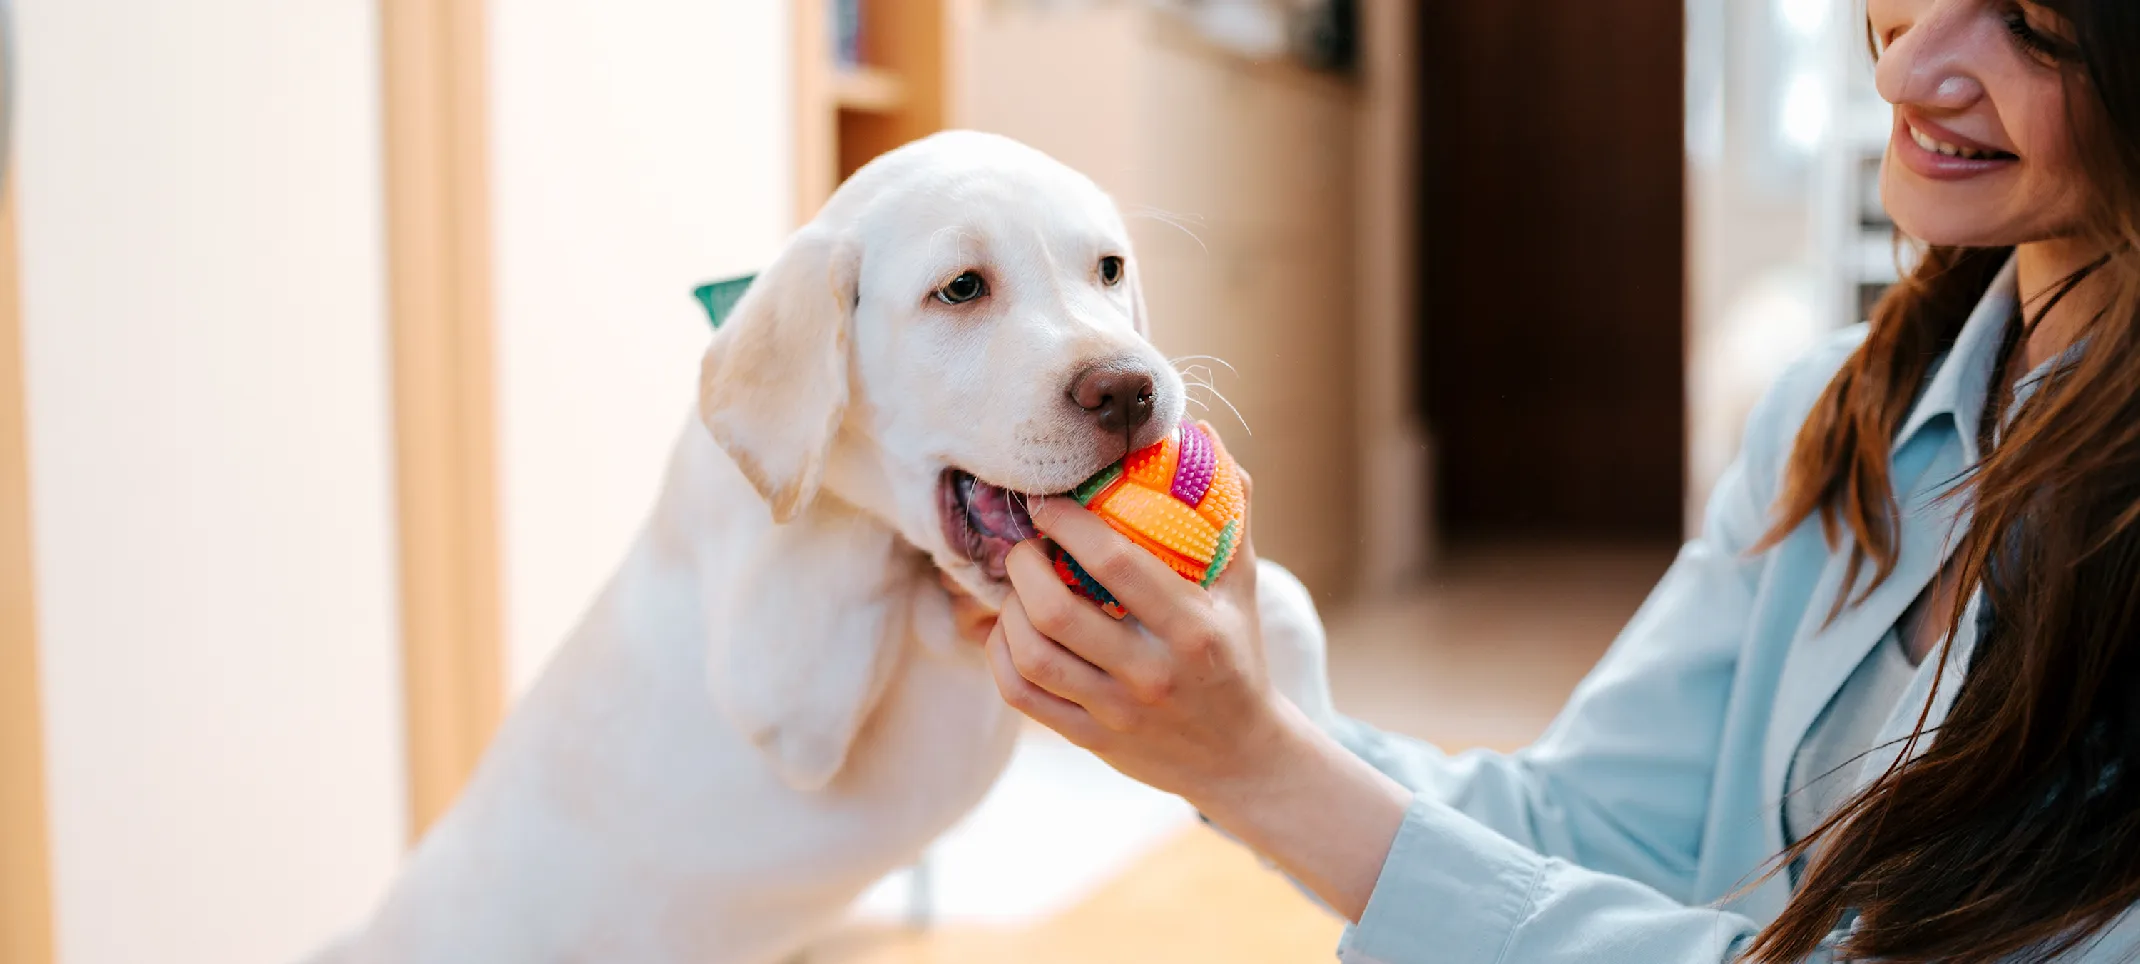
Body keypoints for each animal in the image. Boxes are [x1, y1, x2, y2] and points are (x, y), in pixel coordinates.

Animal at [312, 133, 1335, 964]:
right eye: (962, 289)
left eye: (1110, 270)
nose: (1130, 389)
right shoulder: (787, 700)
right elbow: (861, 561)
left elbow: (1286, 595)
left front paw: (1311, 724)